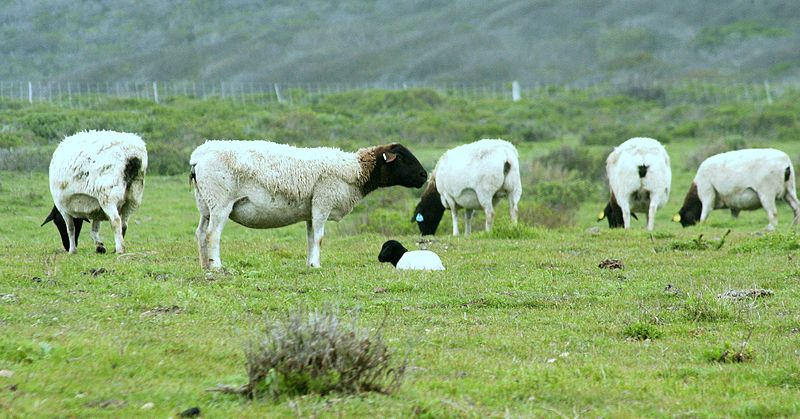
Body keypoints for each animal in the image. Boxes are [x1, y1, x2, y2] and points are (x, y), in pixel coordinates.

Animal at [188, 139, 428, 270]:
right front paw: (317, 264)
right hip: (220, 202)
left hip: (204, 204)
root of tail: (198, 156)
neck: (355, 171)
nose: (424, 176)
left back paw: (204, 265)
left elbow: (311, 238)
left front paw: (310, 264)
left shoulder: (312, 211)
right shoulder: (323, 201)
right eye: (402, 157)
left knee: (200, 233)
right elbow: (320, 238)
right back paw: (216, 266)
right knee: (212, 234)